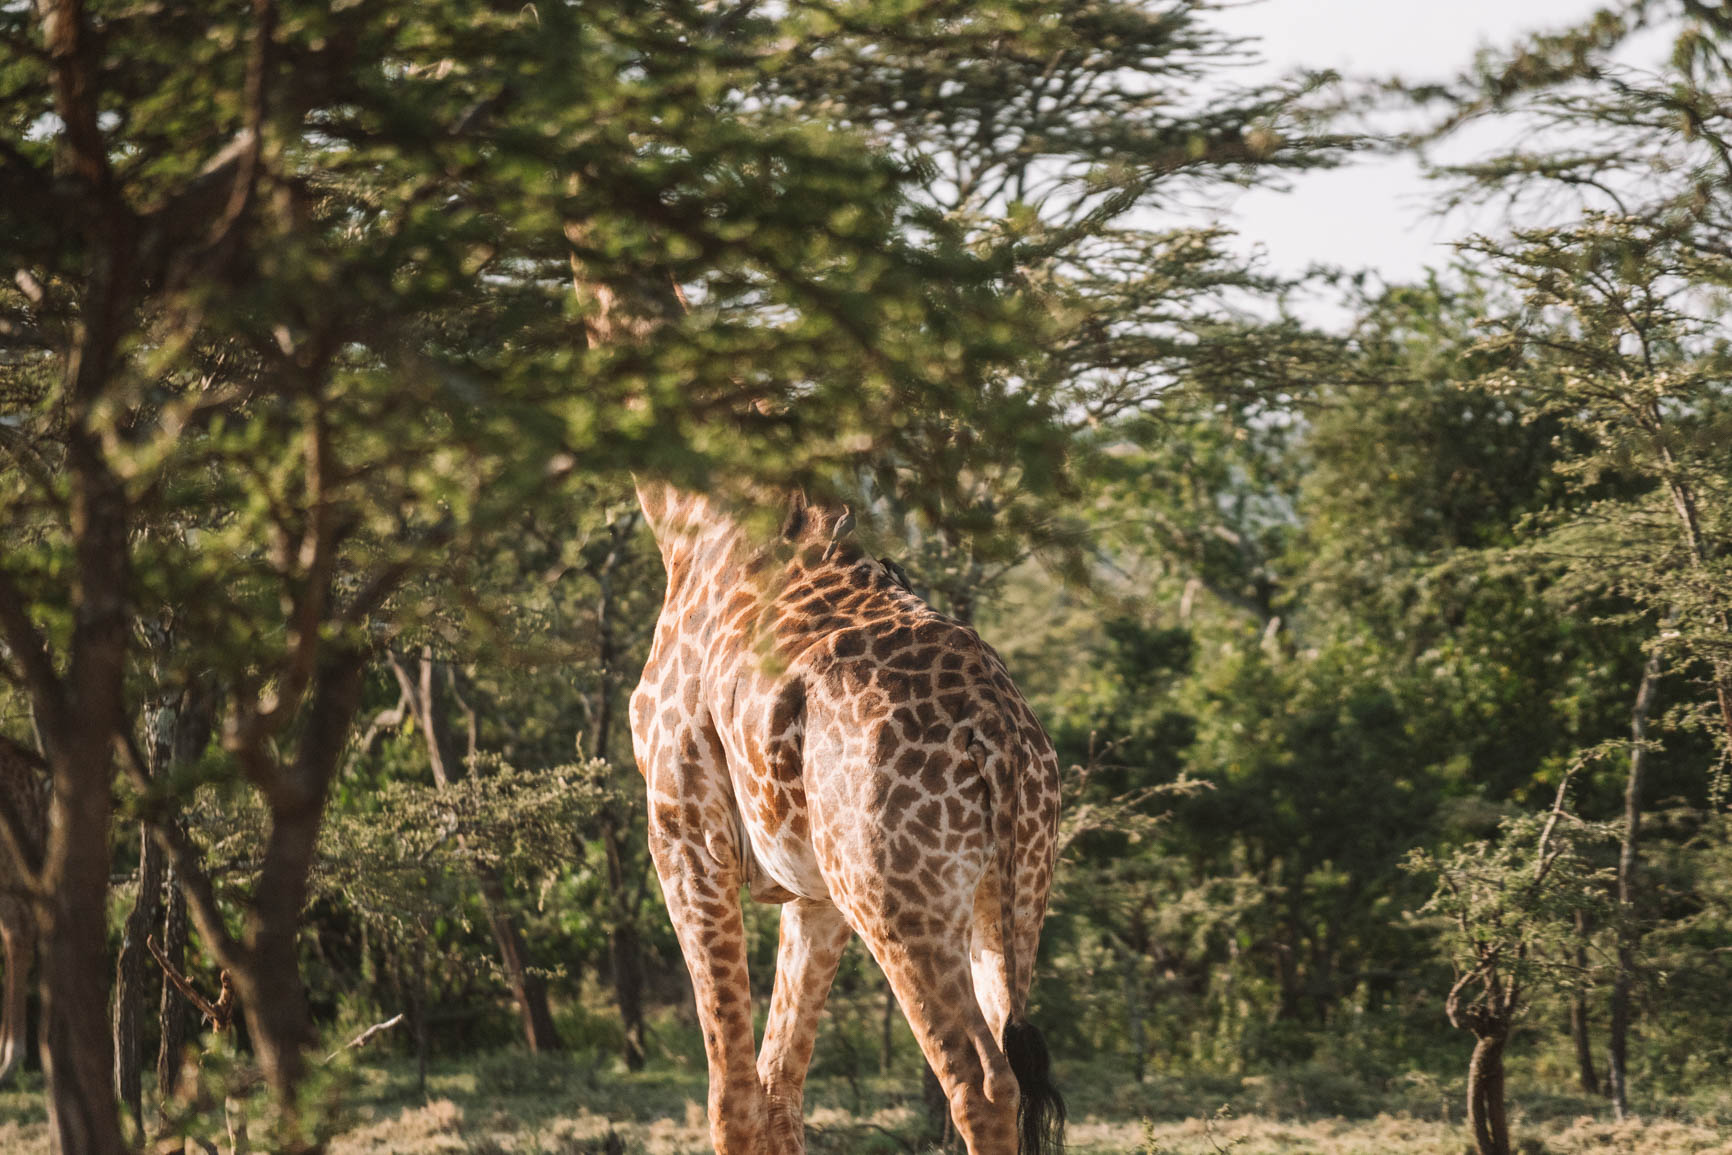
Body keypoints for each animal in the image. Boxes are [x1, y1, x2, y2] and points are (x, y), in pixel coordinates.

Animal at [630, 484, 1059, 1149]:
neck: (691, 525)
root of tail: (998, 733)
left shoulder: (686, 832)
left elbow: (732, 1094)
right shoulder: (816, 892)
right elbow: (778, 1084)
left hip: (896, 900)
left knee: (982, 1083)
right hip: (1013, 894)